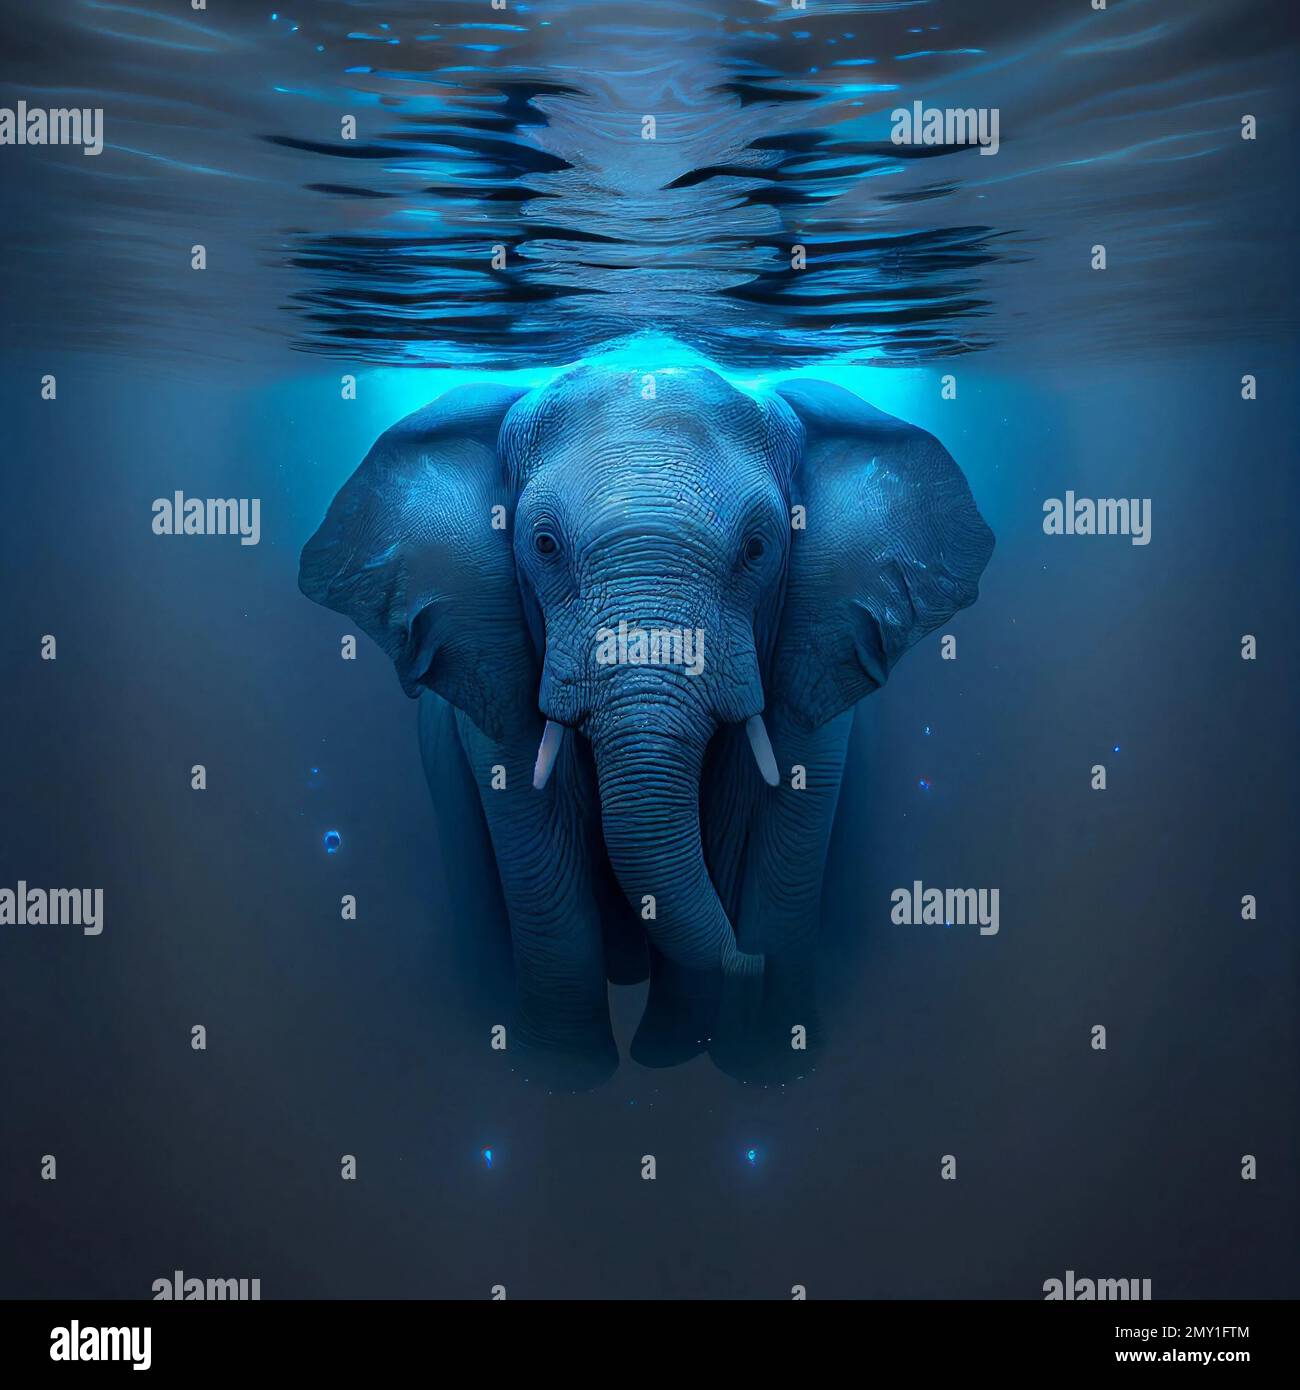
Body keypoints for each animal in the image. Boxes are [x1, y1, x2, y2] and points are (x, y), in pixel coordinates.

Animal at [299, 343, 994, 1089]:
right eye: (543, 545)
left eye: (757, 549)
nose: (750, 960)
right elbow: (537, 838)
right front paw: (564, 1078)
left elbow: (775, 824)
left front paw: (748, 1062)